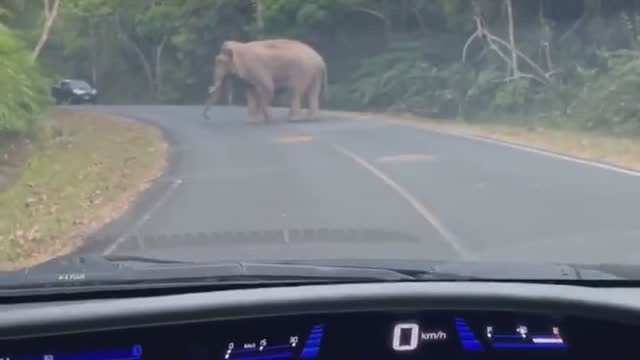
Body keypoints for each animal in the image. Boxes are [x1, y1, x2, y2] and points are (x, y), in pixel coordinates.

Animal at [201, 38, 330, 124]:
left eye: (220, 62)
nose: (208, 117)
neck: (240, 46)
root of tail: (321, 60)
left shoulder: (255, 67)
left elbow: (268, 88)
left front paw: (267, 120)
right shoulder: (250, 74)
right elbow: (251, 93)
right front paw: (252, 121)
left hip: (304, 70)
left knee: (297, 91)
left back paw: (294, 119)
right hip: (314, 72)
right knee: (312, 92)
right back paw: (311, 119)